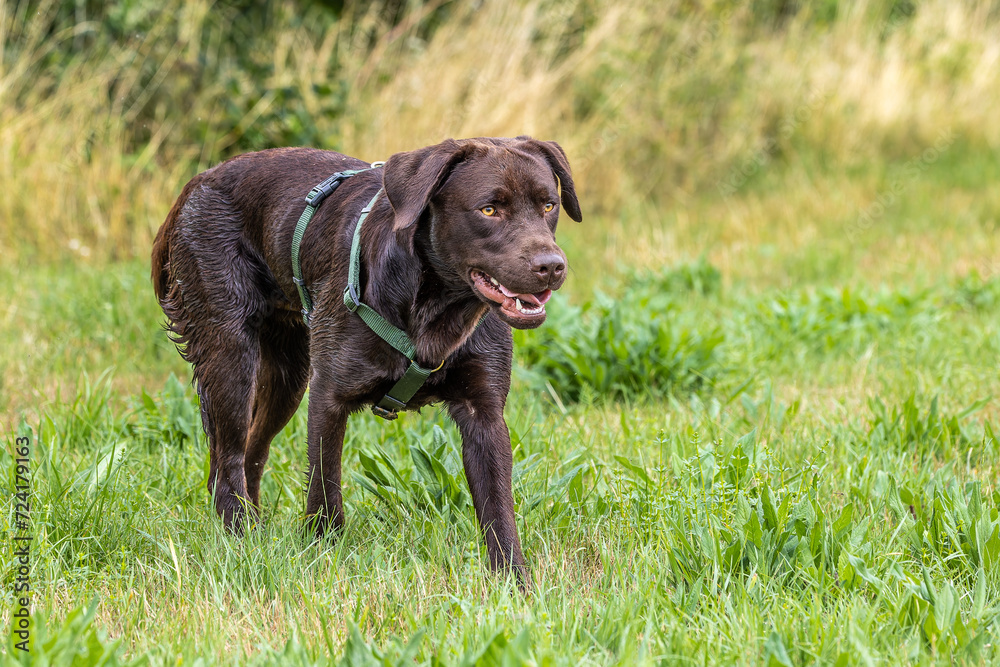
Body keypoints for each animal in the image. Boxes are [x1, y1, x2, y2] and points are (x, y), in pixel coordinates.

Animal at [151, 137, 584, 584]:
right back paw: (240, 540)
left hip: (288, 376)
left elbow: (498, 508)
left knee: (252, 450)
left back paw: (255, 534)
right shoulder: (328, 397)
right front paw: (323, 555)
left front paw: (513, 583)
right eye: (489, 210)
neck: (434, 308)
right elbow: (325, 488)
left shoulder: (484, 414)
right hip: (232, 357)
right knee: (230, 458)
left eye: (548, 206)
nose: (551, 266)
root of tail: (199, 182)